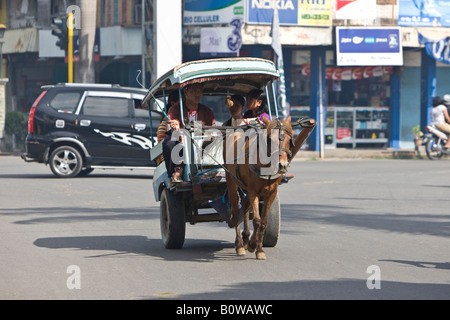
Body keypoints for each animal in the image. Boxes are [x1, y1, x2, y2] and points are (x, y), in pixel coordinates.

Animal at [224, 116, 296, 258]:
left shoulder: (271, 193)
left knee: (245, 206)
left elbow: (263, 222)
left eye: (289, 140)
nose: (282, 165)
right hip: (231, 180)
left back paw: (245, 238)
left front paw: (259, 248)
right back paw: (240, 245)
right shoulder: (253, 191)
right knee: (236, 211)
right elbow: (257, 220)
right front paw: (253, 245)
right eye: (269, 139)